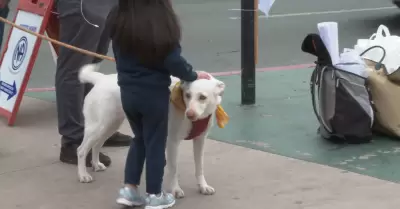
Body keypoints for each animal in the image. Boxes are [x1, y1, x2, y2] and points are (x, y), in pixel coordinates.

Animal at [75, 63, 225, 198]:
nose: (189, 114)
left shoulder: (200, 140)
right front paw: (175, 189)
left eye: (202, 97)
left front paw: (203, 186)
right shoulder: (172, 142)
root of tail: (101, 79)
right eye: (187, 95)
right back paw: (83, 175)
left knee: (97, 145)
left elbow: (200, 167)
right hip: (98, 127)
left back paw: (96, 164)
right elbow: (173, 168)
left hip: (110, 126)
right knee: (81, 150)